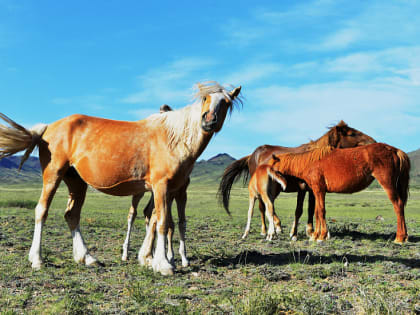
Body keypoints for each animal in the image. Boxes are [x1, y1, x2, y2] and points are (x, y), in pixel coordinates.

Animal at [0, 82, 241, 276]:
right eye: (204, 98)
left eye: (226, 102)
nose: (208, 121)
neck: (173, 138)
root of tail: (48, 127)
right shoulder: (161, 186)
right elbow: (162, 223)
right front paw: (163, 264)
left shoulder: (167, 189)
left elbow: (155, 220)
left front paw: (150, 259)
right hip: (53, 174)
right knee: (41, 211)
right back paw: (37, 259)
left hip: (77, 182)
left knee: (72, 215)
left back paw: (87, 258)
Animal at [218, 122, 376, 241]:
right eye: (351, 133)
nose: (373, 142)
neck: (313, 158)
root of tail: (253, 155)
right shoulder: (302, 188)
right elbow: (299, 210)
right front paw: (294, 234)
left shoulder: (313, 190)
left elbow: (312, 209)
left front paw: (311, 231)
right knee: (263, 207)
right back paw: (267, 229)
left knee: (268, 205)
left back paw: (276, 227)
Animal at [270, 143, 410, 244]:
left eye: (271, 167)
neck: (310, 162)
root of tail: (395, 150)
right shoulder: (316, 191)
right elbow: (317, 212)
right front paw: (315, 236)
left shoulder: (319, 190)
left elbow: (321, 211)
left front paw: (321, 236)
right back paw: (404, 237)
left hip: (387, 184)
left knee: (398, 205)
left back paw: (399, 238)